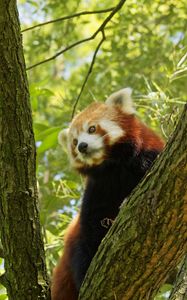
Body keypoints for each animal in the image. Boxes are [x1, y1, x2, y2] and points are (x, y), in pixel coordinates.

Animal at [50, 88, 164, 298]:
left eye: (92, 129)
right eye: (74, 142)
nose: (82, 146)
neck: (113, 166)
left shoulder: (149, 156)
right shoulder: (98, 190)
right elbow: (92, 228)